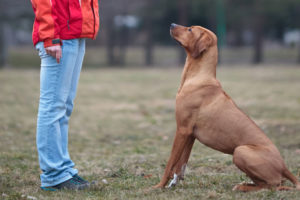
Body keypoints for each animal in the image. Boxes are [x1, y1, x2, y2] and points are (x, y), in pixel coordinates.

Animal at [154, 23, 298, 192]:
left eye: (190, 29)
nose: (172, 25)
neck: (198, 77)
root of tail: (284, 166)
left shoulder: (182, 129)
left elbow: (170, 162)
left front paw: (158, 186)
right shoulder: (190, 134)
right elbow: (181, 163)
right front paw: (174, 182)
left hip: (240, 151)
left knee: (272, 184)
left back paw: (242, 187)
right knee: (267, 183)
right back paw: (245, 184)